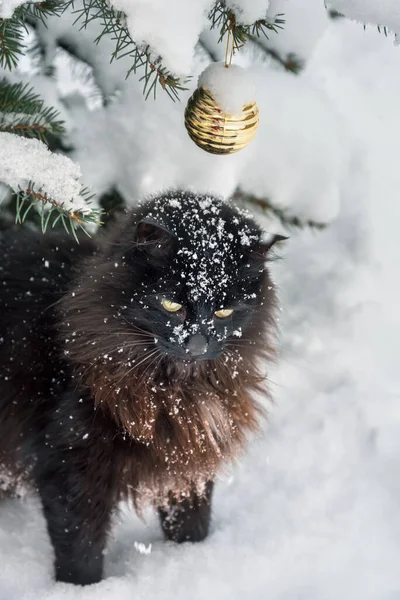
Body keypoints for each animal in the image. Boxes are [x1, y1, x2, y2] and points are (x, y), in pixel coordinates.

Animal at [0, 192, 282, 584]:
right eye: (171, 304)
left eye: (224, 312)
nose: (197, 344)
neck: (177, 392)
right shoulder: (71, 459)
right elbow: (80, 544)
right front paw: (80, 588)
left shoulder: (189, 451)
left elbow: (191, 518)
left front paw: (190, 556)